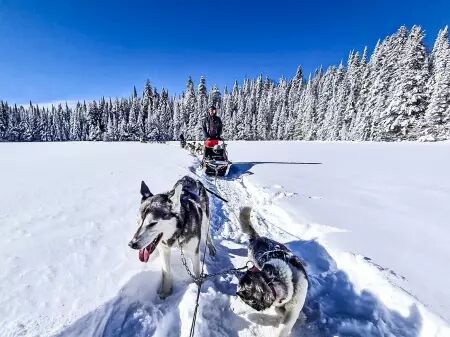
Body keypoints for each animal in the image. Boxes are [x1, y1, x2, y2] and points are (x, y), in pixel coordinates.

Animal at [237, 206, 308, 334]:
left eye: (243, 298)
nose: (232, 308)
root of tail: (258, 238)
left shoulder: (293, 310)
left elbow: (285, 324)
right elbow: (280, 311)